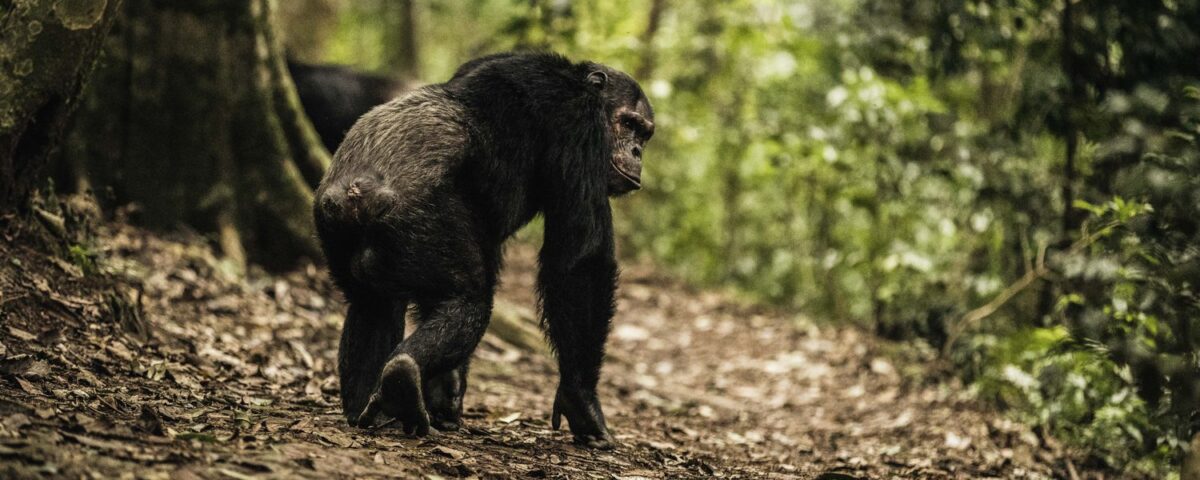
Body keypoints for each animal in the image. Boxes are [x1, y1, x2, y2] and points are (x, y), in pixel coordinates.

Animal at [313, 52, 654, 449]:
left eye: (644, 133)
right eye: (628, 124)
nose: (636, 151)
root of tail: (357, 191)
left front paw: (446, 389)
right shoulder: (580, 128)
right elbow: (580, 260)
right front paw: (582, 401)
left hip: (334, 230)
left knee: (372, 305)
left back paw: (372, 410)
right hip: (421, 220)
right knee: (469, 300)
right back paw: (403, 376)